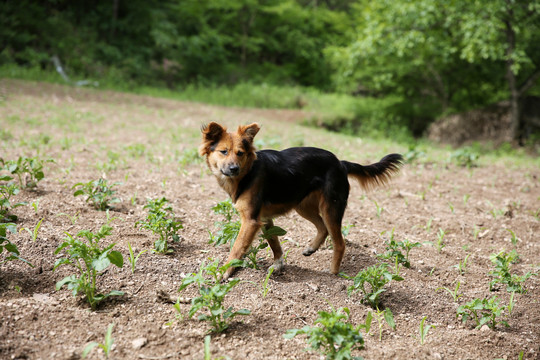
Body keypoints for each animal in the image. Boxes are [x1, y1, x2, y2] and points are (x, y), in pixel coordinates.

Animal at [200, 122, 402, 280]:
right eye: (224, 152)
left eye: (240, 153)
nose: (233, 168)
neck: (247, 173)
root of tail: (340, 163)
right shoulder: (263, 218)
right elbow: (274, 243)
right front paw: (278, 265)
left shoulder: (250, 221)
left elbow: (237, 248)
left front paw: (225, 272)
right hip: (303, 206)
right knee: (322, 228)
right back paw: (311, 248)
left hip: (331, 207)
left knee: (339, 243)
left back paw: (333, 273)